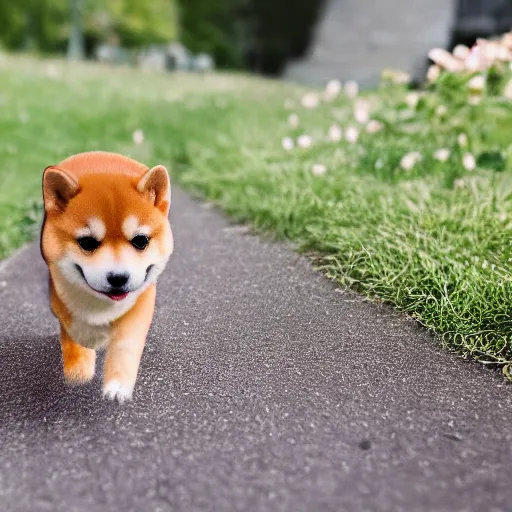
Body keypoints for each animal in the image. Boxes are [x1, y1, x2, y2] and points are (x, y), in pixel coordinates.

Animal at [38, 152, 174, 404]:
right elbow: (74, 332)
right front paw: (78, 371)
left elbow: (126, 344)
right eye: (87, 243)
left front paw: (118, 385)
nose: (118, 278)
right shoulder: (59, 293)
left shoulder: (141, 299)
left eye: (140, 240)